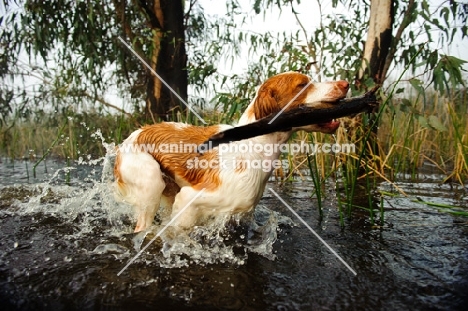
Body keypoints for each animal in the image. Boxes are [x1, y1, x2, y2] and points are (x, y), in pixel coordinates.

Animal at [112, 72, 348, 233]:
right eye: (302, 84)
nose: (345, 84)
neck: (253, 144)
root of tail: (130, 137)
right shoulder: (189, 199)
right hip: (151, 183)